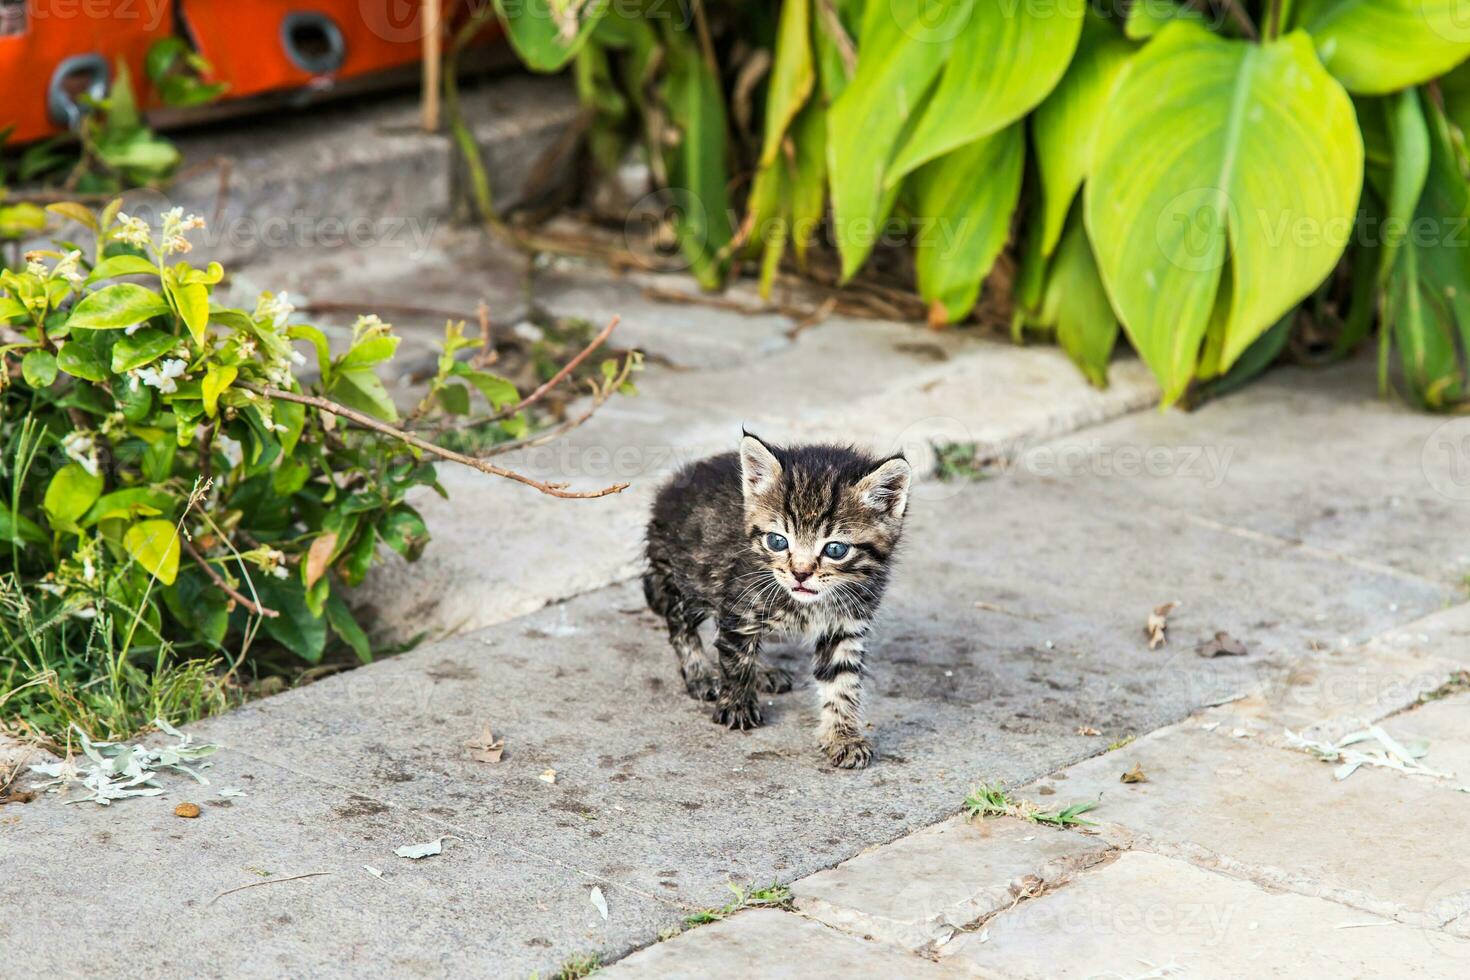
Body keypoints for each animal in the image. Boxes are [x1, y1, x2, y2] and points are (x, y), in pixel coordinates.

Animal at [643, 431, 905, 769]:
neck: (808, 603)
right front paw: (737, 704)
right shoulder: (740, 602)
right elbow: (737, 658)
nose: (800, 574)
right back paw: (699, 673)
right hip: (688, 579)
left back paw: (763, 672)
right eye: (777, 541)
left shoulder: (845, 622)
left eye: (835, 549)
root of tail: (672, 486)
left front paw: (842, 736)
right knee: (680, 625)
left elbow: (842, 682)